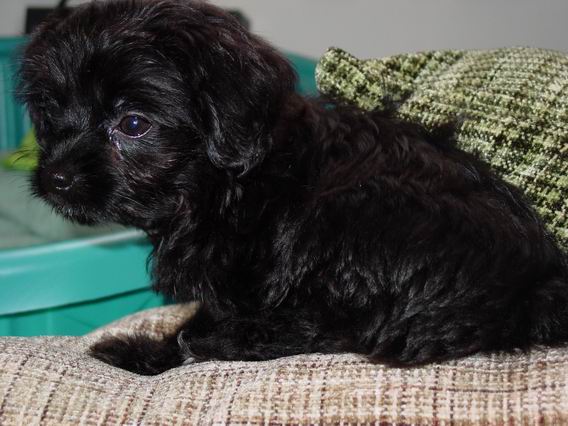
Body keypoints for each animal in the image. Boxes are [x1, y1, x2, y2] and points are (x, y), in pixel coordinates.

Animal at [19, 0, 568, 375]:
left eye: (133, 124)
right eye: (50, 111)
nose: (56, 178)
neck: (224, 184)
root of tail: (531, 290)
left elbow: (203, 320)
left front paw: (150, 351)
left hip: (346, 213)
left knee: (332, 329)